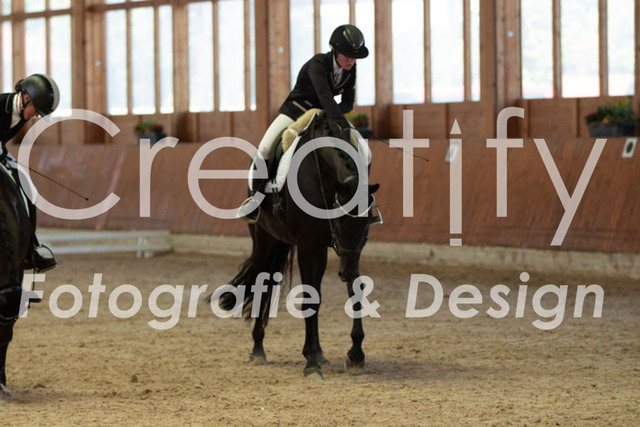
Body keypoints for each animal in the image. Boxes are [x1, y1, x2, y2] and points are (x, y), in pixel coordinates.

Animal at [219, 111, 381, 379]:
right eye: (340, 219)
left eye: (367, 222)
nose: (345, 273)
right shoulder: (307, 245)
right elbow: (309, 299)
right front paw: (311, 363)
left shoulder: (344, 250)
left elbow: (352, 290)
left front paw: (355, 355)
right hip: (264, 239)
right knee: (263, 283)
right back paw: (258, 349)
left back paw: (320, 354)